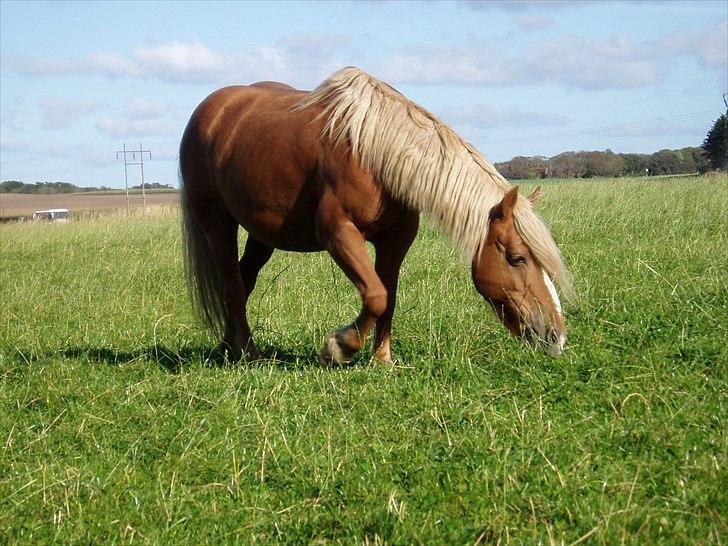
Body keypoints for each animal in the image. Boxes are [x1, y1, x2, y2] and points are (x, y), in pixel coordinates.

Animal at [179, 66, 572, 362]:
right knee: (231, 282)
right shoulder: (338, 232)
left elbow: (389, 297)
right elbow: (376, 295)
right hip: (216, 222)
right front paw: (339, 347)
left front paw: (381, 358)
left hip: (263, 234)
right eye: (518, 258)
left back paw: (228, 346)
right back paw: (247, 353)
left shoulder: (395, 242)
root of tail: (212, 109)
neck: (376, 154)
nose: (556, 335)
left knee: (243, 281)